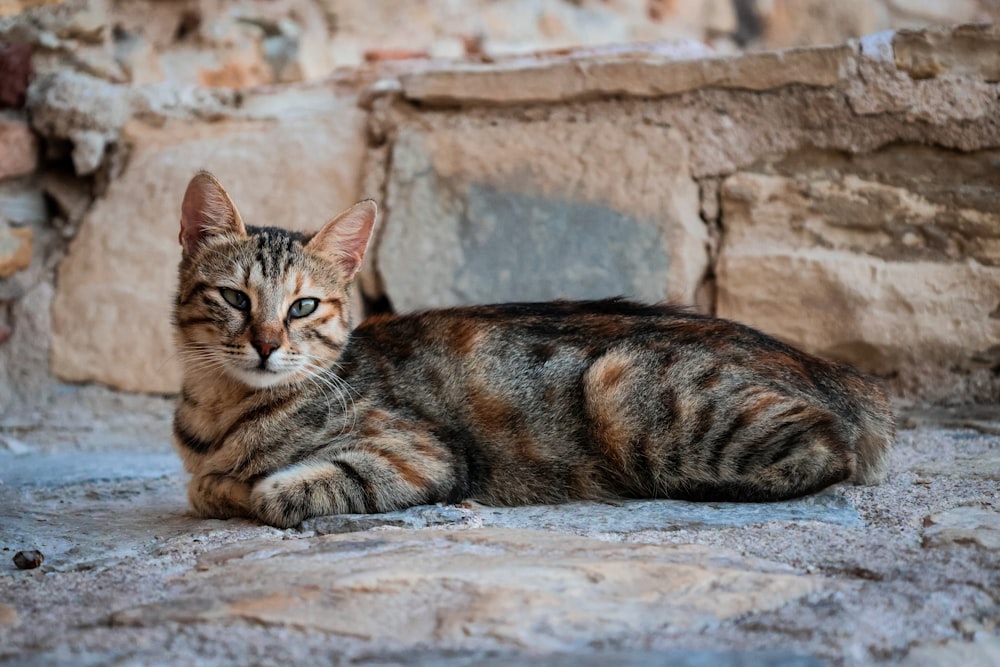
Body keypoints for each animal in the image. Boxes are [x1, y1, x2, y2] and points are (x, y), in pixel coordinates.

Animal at [172, 175, 900, 528]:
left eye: (302, 307)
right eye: (235, 299)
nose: (266, 344)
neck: (219, 411)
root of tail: (839, 372)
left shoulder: (424, 454)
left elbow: (276, 492)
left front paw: (241, 487)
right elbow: (207, 486)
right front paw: (220, 483)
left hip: (623, 387)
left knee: (827, 447)